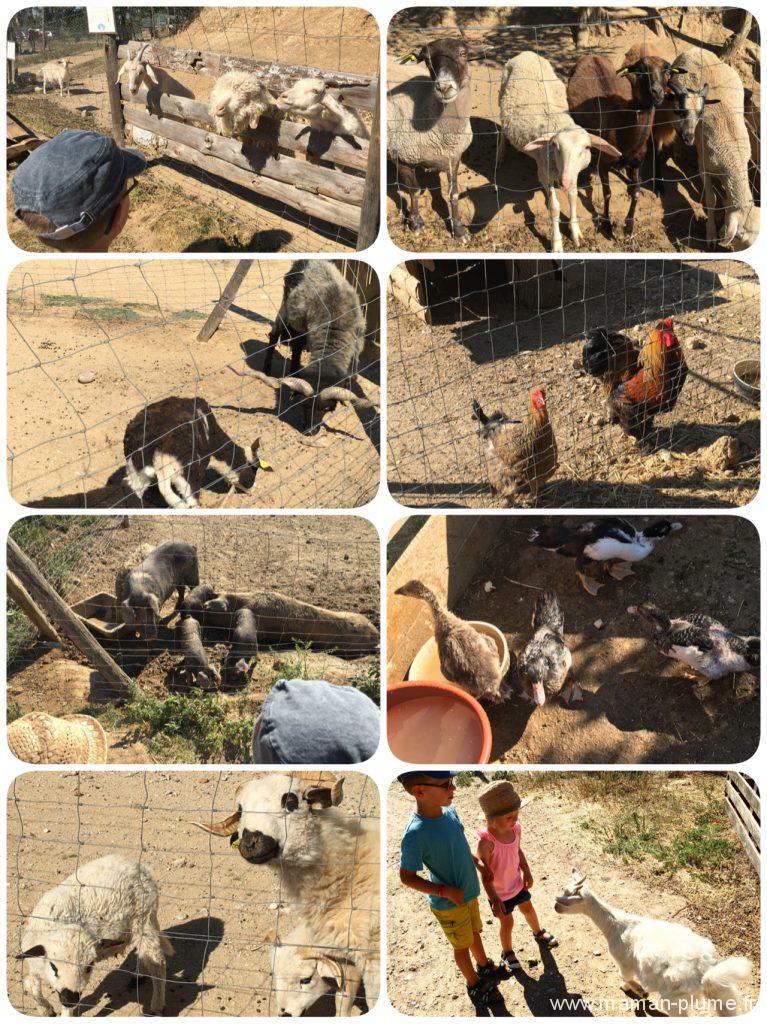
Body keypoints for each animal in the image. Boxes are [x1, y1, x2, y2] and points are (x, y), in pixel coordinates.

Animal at [15, 856, 172, 1015]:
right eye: (54, 967)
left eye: (89, 966)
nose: (70, 998)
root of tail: (137, 866)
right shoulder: (35, 963)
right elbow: (31, 986)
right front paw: (46, 1010)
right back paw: (139, 976)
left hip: (144, 920)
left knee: (157, 963)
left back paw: (156, 1005)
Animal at [552, 872, 749, 1015]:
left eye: (567, 900)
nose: (555, 908)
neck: (616, 925)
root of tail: (706, 970)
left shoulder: (623, 960)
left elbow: (624, 976)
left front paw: (637, 990)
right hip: (722, 991)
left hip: (675, 997)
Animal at [671, 48, 753, 252]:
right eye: (742, 238)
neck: (733, 157)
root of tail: (695, 49)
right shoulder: (705, 167)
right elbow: (711, 200)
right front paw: (711, 234)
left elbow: (725, 201)